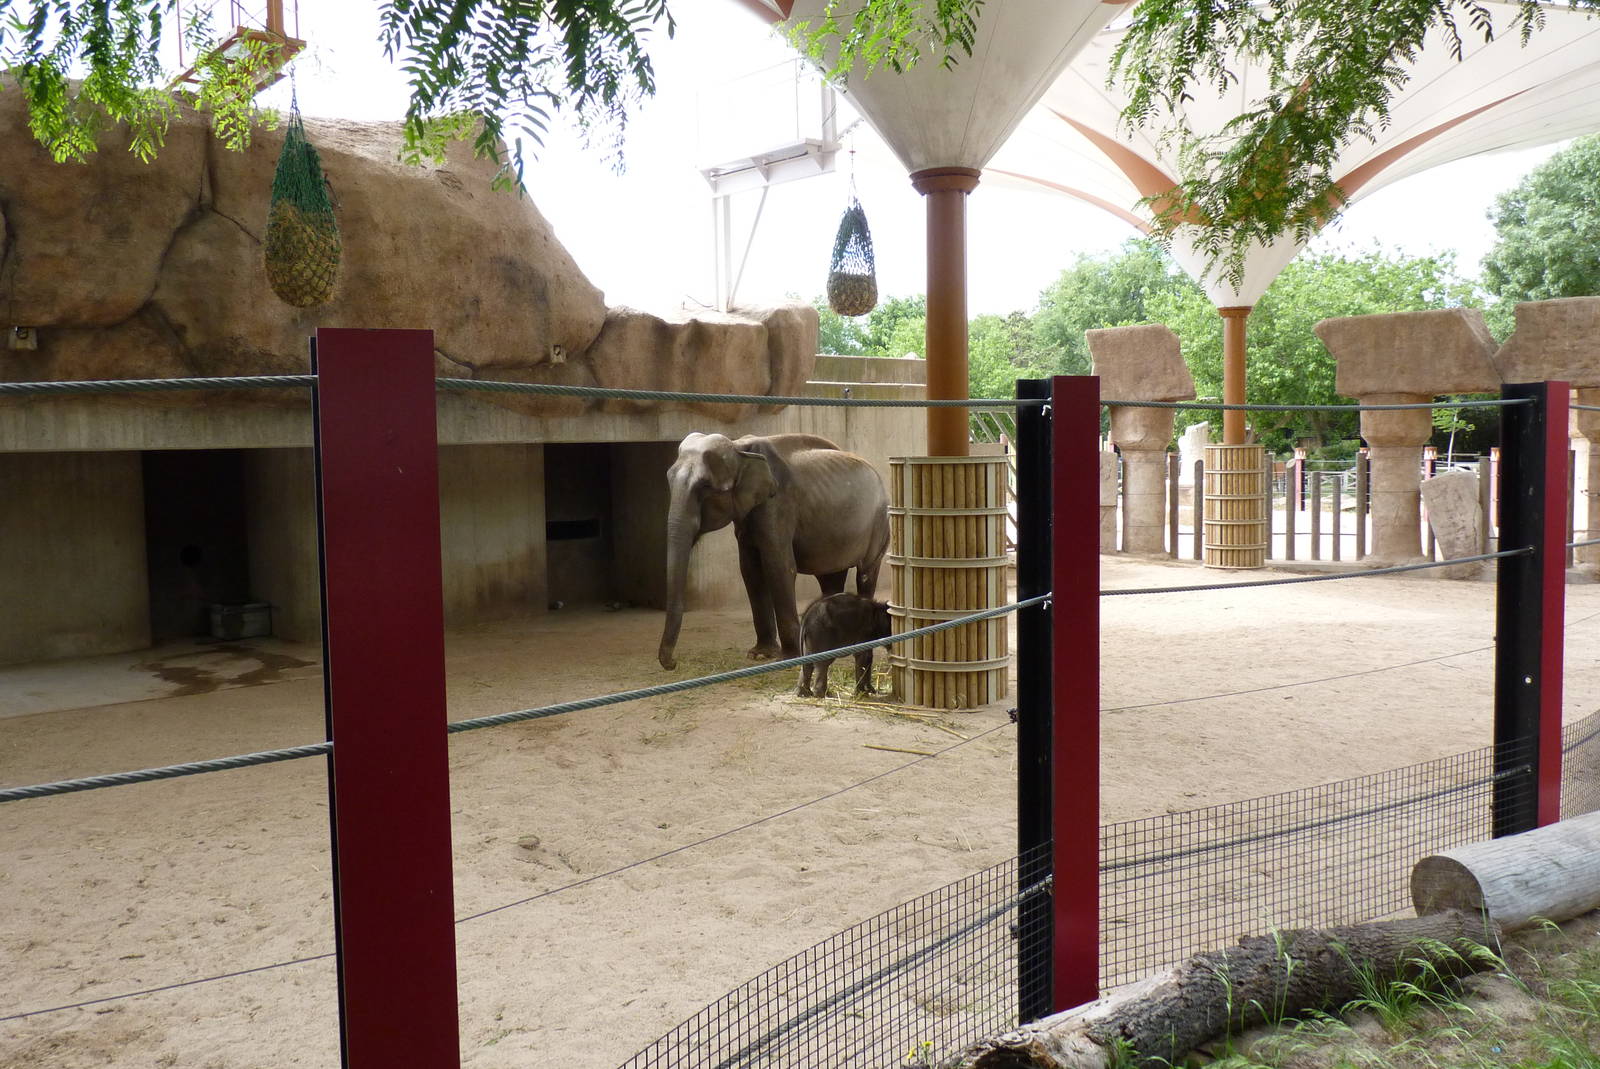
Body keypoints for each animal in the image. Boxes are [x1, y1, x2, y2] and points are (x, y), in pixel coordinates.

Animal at [658, 432, 890, 671]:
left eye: (705, 487)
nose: (673, 664)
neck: (739, 448)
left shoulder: (778, 504)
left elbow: (778, 566)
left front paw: (787, 659)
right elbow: (750, 570)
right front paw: (760, 655)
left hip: (879, 524)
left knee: (866, 573)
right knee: (830, 577)